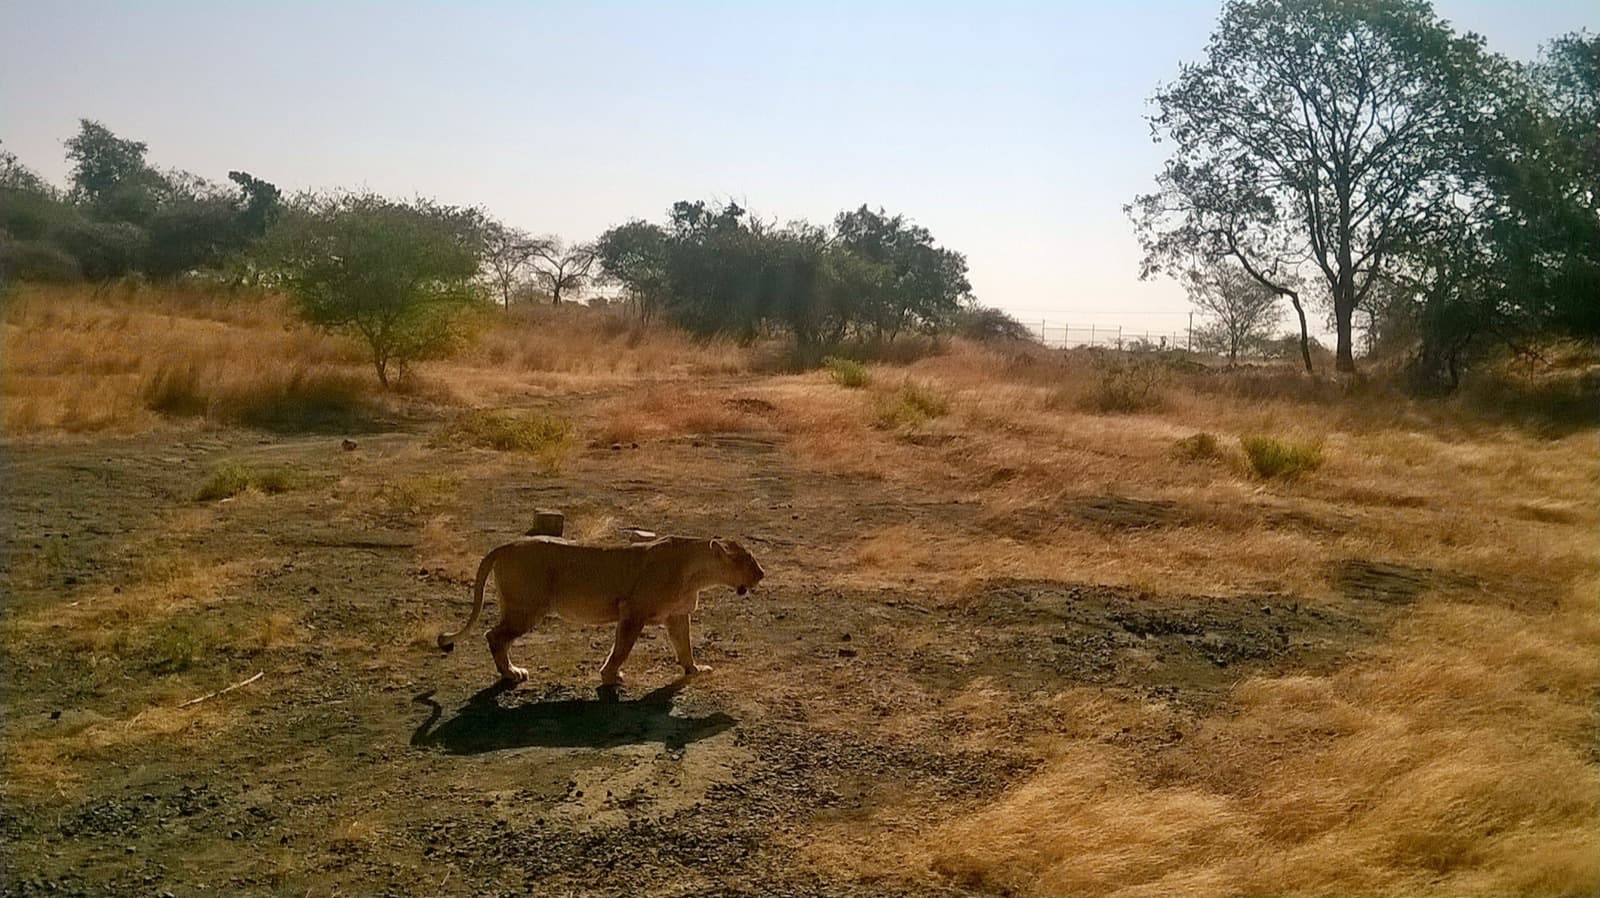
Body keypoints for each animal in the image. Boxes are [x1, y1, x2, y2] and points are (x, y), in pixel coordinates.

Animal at [436, 535, 766, 685]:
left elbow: (685, 645)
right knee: (494, 636)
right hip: (526, 609)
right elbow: (621, 648)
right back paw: (511, 673)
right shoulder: (633, 610)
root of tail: (507, 544)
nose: (762, 574)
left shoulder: (676, 615)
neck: (698, 573)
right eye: (747, 560)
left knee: (496, 636)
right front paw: (610, 675)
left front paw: (694, 670)